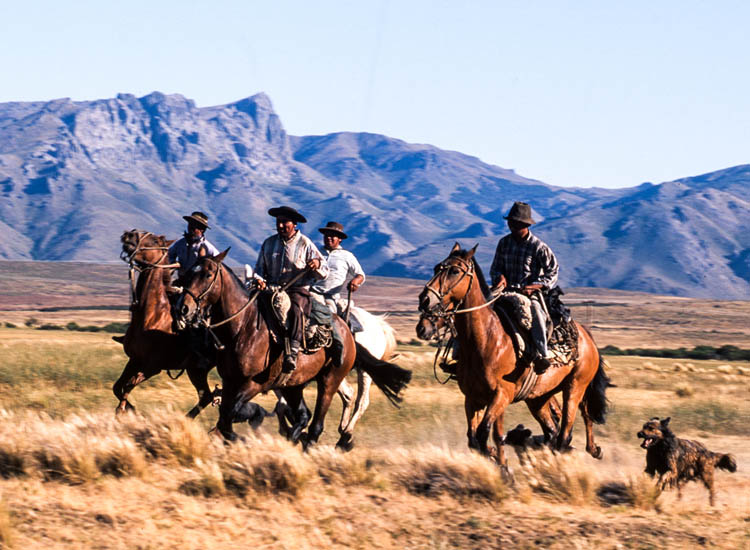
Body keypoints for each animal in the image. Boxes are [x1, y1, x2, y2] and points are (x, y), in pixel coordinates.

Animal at [113, 230, 217, 418]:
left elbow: (129, 385)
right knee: (206, 396)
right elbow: (118, 387)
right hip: (196, 370)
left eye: (154, 240)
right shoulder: (134, 360)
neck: (152, 315)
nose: (129, 234)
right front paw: (130, 409)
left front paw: (124, 410)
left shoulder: (153, 367)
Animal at [174, 250, 414, 444]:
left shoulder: (254, 384)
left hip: (334, 379)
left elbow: (230, 415)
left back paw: (341, 437)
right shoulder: (232, 381)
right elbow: (226, 416)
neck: (244, 328)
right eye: (188, 274)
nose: (183, 309)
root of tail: (349, 329)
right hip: (295, 385)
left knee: (341, 410)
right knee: (310, 412)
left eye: (207, 275)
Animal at [418, 245, 612, 470]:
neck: (487, 339)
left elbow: (486, 433)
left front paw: (502, 466)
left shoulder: (501, 395)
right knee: (554, 430)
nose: (424, 300)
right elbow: (475, 438)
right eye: (436, 268)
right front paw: (498, 459)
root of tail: (585, 336)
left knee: (567, 430)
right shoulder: (473, 398)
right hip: (539, 397)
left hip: (575, 388)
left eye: (455, 271)